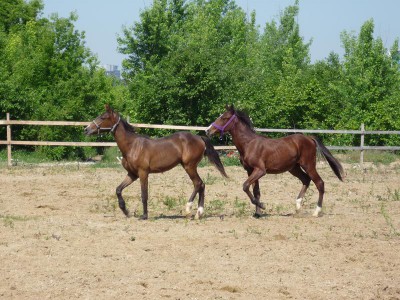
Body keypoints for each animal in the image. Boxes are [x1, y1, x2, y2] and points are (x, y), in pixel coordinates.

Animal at [85, 104, 227, 219]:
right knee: (201, 185)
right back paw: (198, 213)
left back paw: (188, 210)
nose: (86, 129)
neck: (132, 146)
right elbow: (118, 189)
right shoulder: (132, 174)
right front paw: (126, 211)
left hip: (189, 166)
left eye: (103, 117)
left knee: (198, 183)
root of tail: (199, 138)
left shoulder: (143, 173)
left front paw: (144, 215)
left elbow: (144, 194)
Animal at [206, 104, 344, 217]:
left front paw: (262, 206)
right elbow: (256, 191)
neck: (249, 144)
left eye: (224, 118)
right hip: (293, 168)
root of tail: (309, 138)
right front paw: (257, 213)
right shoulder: (250, 170)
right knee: (306, 180)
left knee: (319, 183)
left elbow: (245, 186)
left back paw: (316, 212)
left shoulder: (260, 170)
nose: (208, 130)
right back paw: (298, 206)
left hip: (309, 165)